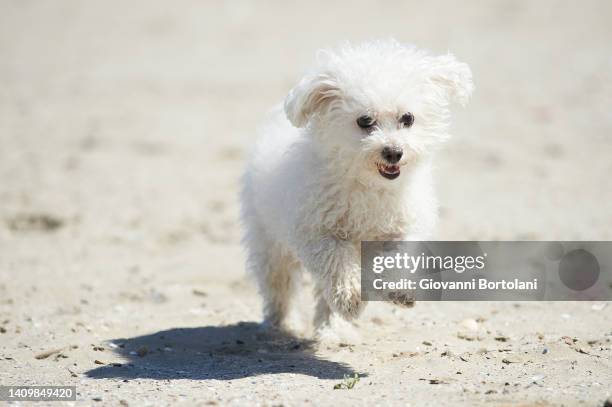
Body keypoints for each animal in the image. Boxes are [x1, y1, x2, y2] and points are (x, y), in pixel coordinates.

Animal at [239, 39, 474, 338]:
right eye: (365, 121)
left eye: (407, 118)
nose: (393, 152)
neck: (369, 184)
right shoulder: (318, 232)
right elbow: (336, 263)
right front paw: (350, 297)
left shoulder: (403, 228)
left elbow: (398, 256)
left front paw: (399, 290)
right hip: (268, 240)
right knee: (279, 283)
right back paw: (283, 323)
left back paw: (333, 330)